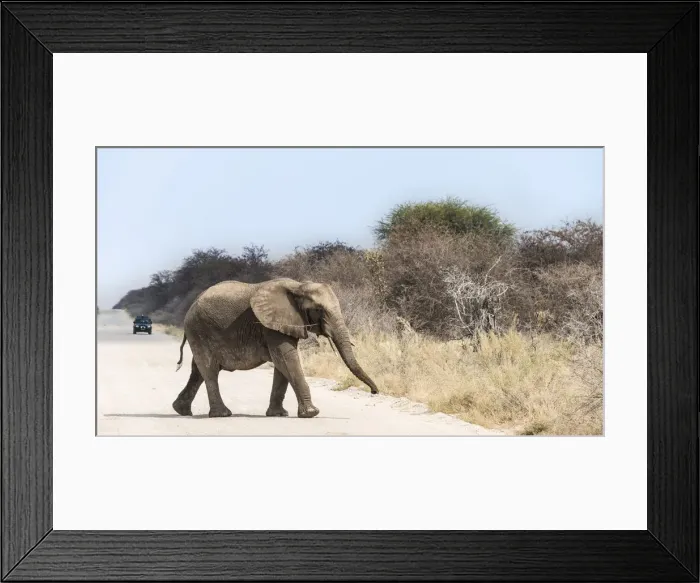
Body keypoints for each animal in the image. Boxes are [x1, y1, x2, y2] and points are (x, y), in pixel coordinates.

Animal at [172, 278, 379, 419]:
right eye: (319, 310)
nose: (374, 392)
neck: (298, 287)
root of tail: (191, 306)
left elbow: (282, 364)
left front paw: (278, 414)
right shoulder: (271, 325)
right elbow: (287, 358)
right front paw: (312, 413)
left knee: (198, 371)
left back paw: (181, 410)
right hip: (199, 330)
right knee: (210, 370)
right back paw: (222, 414)